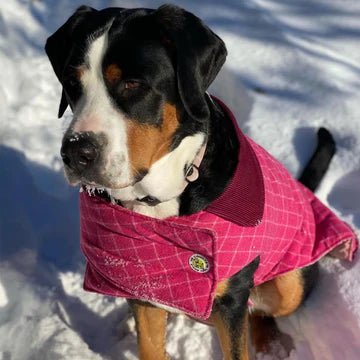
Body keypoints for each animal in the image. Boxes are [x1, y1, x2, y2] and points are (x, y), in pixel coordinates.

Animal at [45, 4, 358, 360]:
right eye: (71, 82)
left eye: (133, 84)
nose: (75, 152)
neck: (160, 197)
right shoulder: (142, 281)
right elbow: (149, 345)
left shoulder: (232, 298)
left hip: (290, 284)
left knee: (263, 309)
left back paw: (272, 344)